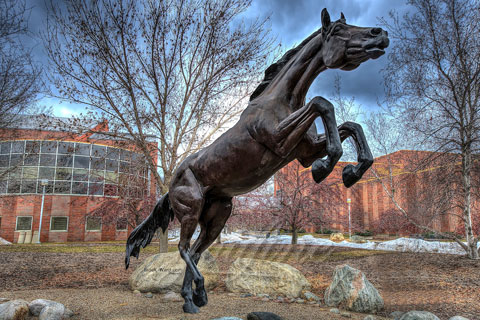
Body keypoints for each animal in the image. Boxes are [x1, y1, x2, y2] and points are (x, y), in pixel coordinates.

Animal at [125, 8, 388, 314]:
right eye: (336, 30)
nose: (380, 34)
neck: (283, 100)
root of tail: (171, 184)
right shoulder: (279, 141)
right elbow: (323, 104)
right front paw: (326, 168)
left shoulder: (304, 151)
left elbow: (350, 125)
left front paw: (351, 172)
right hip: (190, 211)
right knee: (183, 248)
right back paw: (198, 293)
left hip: (217, 217)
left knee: (195, 251)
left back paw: (191, 300)